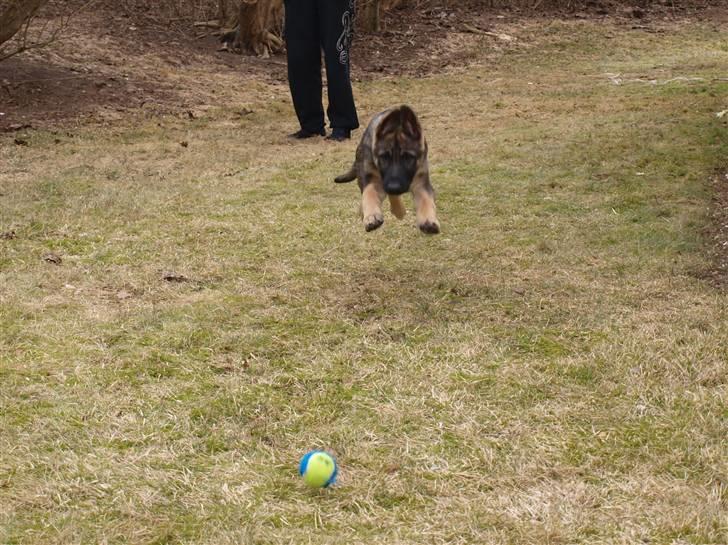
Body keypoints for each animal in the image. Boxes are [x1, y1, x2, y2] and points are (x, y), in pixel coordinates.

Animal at [334, 105, 440, 234]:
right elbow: (369, 193)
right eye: (384, 157)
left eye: (408, 157)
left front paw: (429, 220)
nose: (394, 187)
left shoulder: (421, 182)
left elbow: (426, 200)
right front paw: (372, 216)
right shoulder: (374, 180)